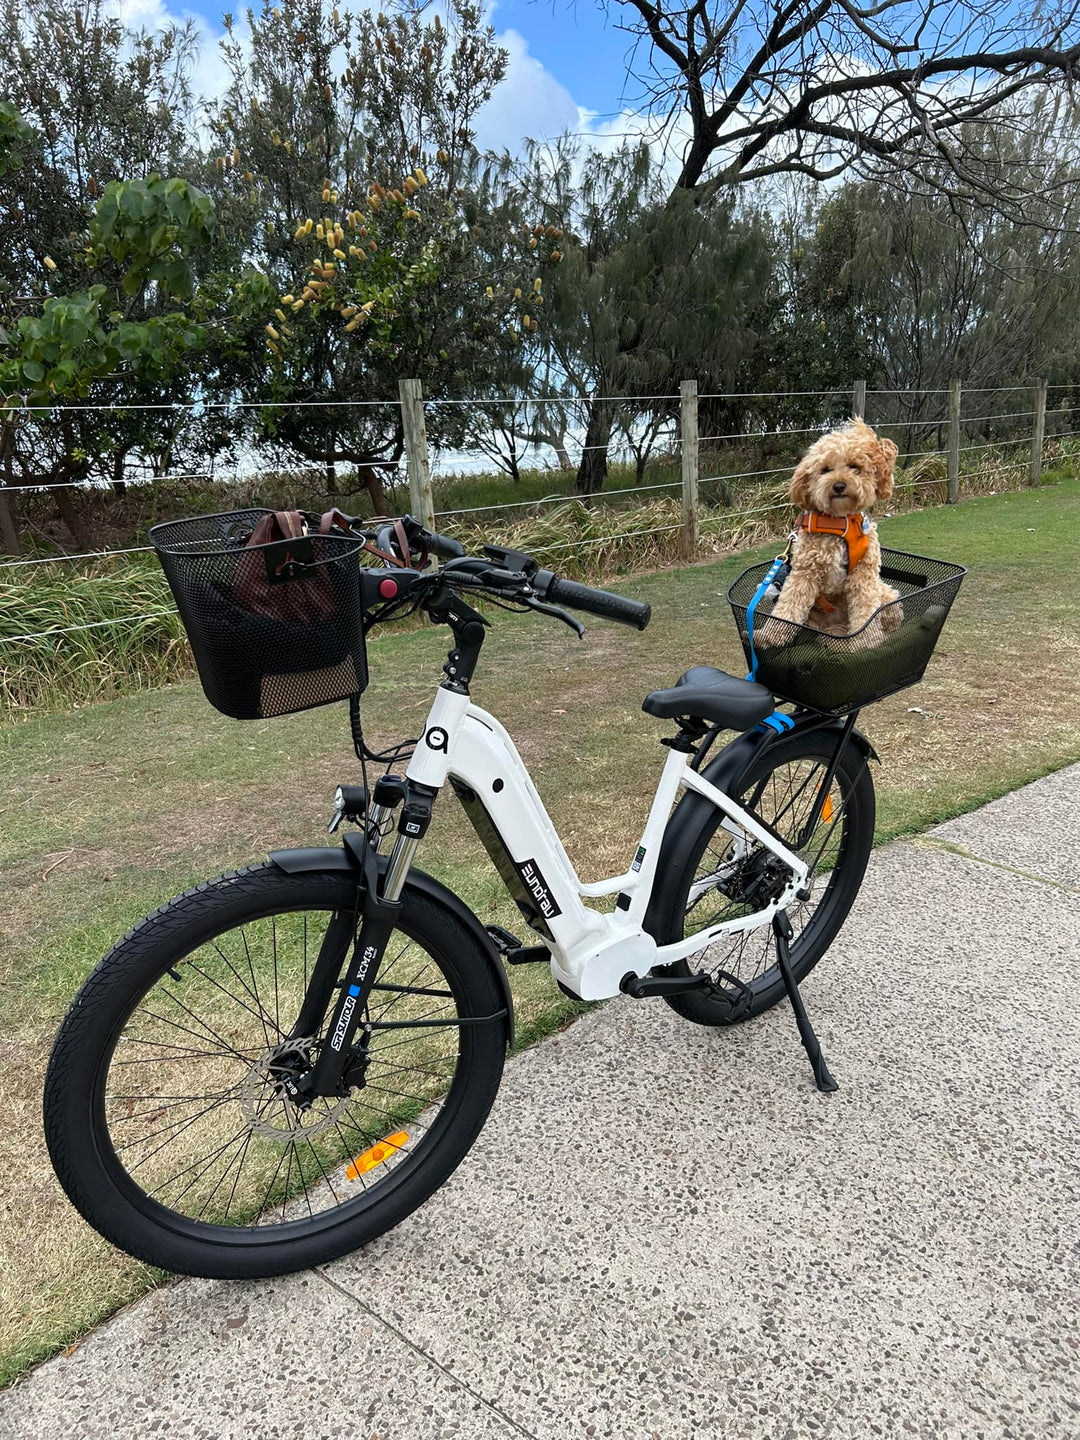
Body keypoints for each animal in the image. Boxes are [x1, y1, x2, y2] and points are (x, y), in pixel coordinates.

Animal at [760, 414, 904, 645]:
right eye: (826, 469)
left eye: (854, 466)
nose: (839, 485)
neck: (840, 523)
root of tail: (833, 627)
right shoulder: (804, 573)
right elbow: (788, 607)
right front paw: (769, 636)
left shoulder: (863, 574)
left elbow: (866, 613)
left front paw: (864, 641)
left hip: (886, 593)